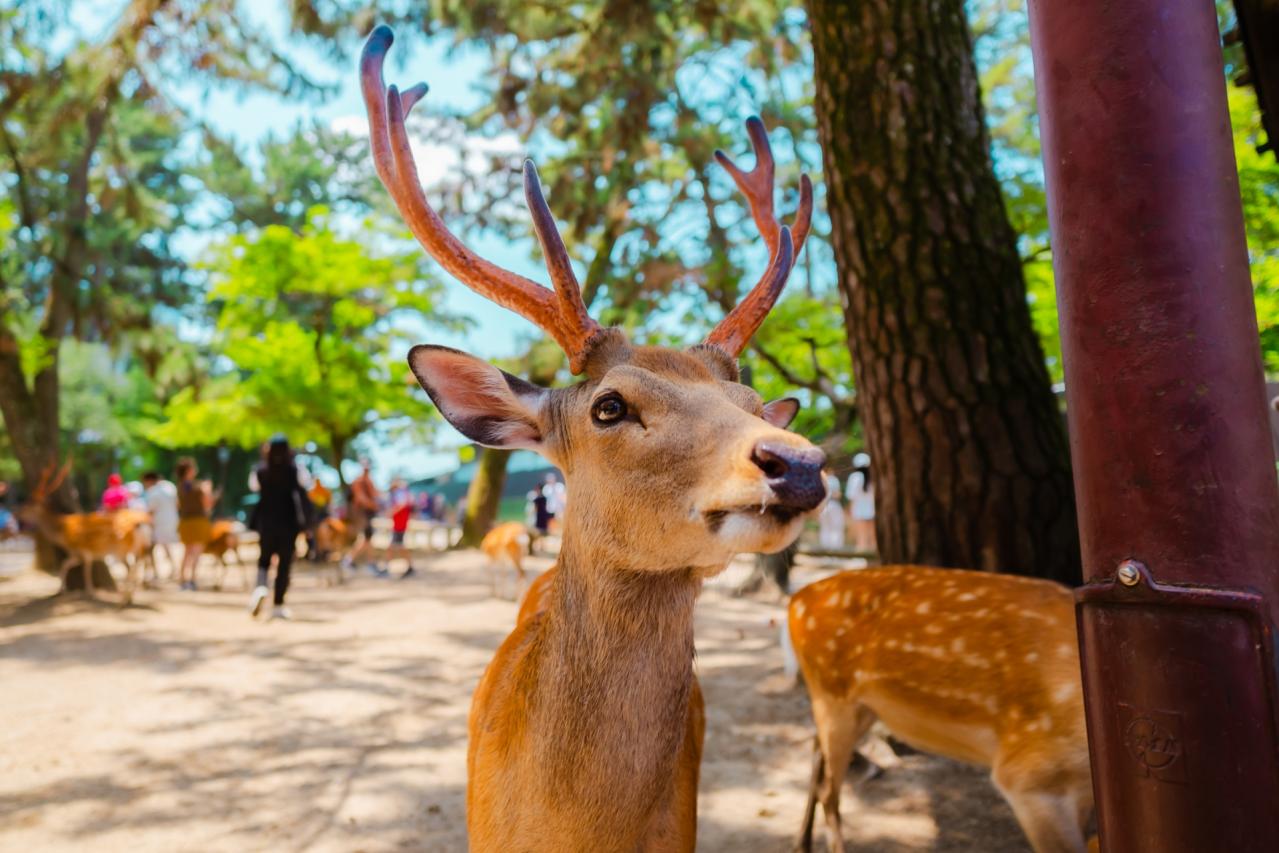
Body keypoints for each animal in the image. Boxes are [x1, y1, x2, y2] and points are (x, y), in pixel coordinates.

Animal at [18, 463, 153, 604]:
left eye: (29, 503)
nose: (17, 513)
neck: (63, 534)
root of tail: (141, 522)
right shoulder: (75, 554)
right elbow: (65, 565)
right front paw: (60, 590)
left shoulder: (84, 550)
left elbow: (85, 571)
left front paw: (90, 593)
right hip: (137, 547)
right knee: (138, 564)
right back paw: (130, 596)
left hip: (120, 549)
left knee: (131, 567)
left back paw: (124, 598)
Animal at [788, 566, 1095, 853]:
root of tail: (795, 600)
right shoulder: (1030, 778)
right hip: (831, 696)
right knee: (828, 790)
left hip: (858, 707)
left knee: (816, 753)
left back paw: (802, 844)